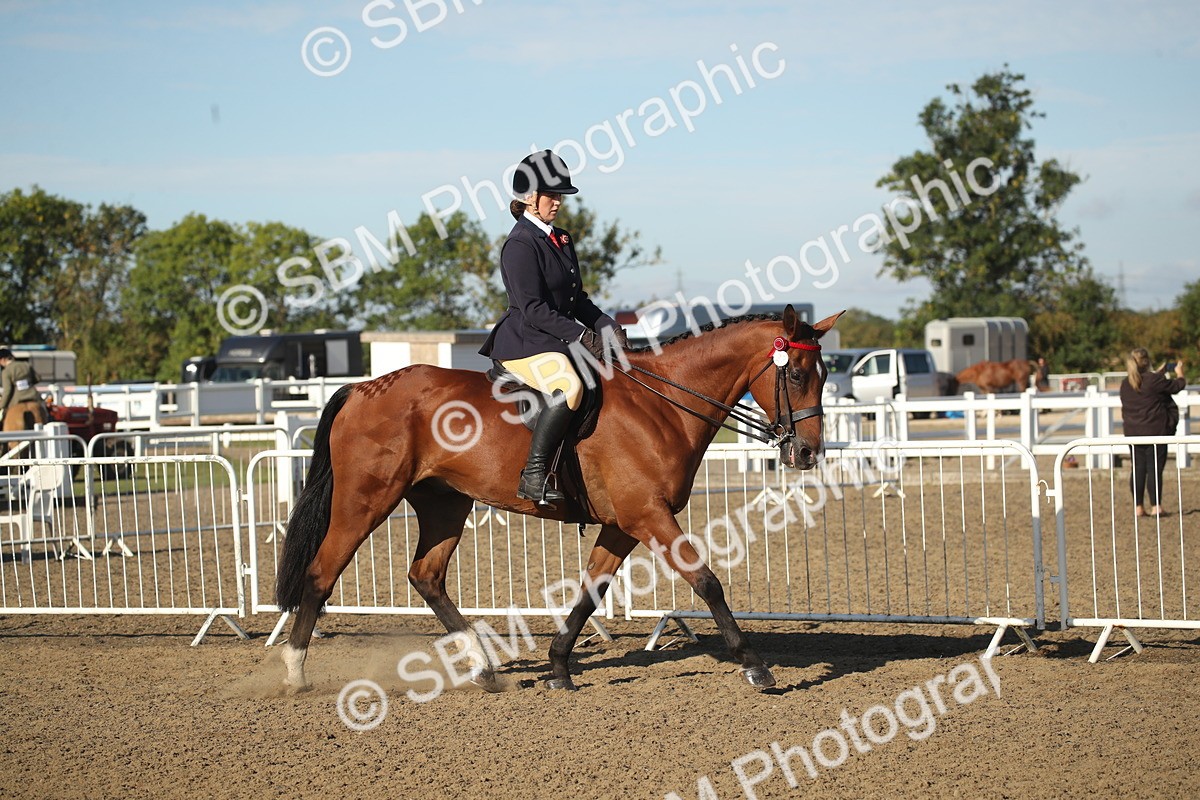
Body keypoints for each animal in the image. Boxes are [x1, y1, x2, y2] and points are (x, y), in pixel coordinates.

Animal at [275, 305, 841, 693]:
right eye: (795, 375)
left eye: (823, 375)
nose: (808, 453)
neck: (662, 405)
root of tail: (364, 387)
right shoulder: (648, 515)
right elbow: (707, 581)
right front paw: (755, 666)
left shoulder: (622, 524)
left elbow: (590, 593)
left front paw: (558, 667)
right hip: (365, 501)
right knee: (322, 572)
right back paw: (295, 671)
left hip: (444, 503)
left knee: (427, 576)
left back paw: (484, 670)